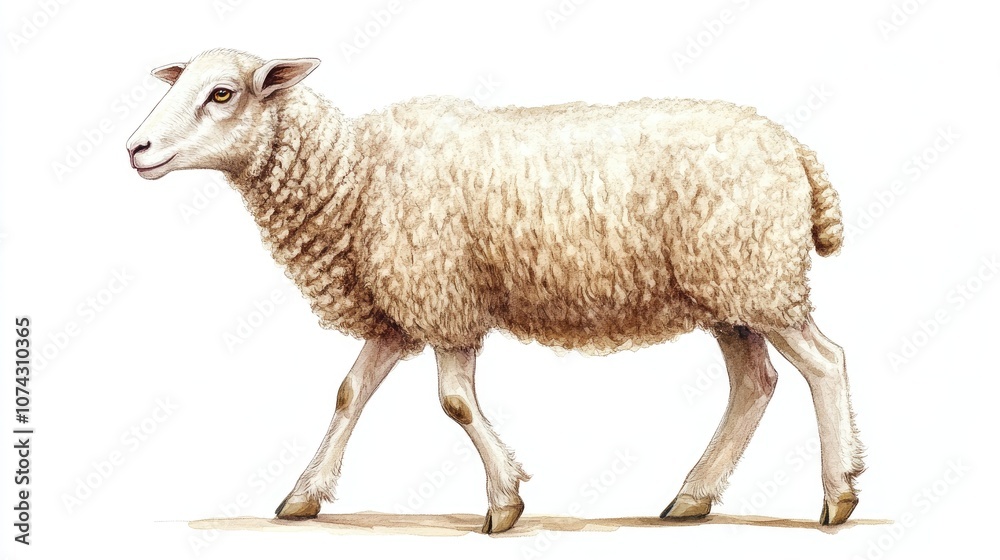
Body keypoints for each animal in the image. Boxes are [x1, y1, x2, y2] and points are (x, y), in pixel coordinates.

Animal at [126, 48, 864, 534]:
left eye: (222, 93)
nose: (137, 149)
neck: (355, 176)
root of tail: (795, 148)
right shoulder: (398, 310)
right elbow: (348, 394)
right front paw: (303, 496)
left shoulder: (443, 298)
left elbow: (453, 402)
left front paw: (505, 502)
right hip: (727, 293)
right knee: (755, 384)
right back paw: (692, 499)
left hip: (756, 275)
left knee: (825, 364)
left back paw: (837, 497)